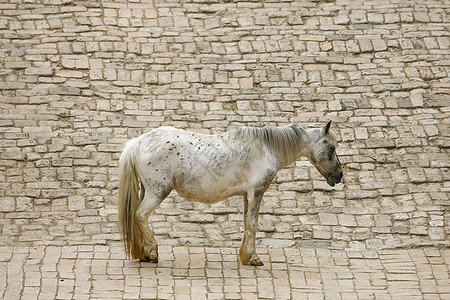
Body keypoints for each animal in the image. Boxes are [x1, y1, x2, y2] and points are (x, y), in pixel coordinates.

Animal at [118, 120, 342, 266]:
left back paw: (143, 253)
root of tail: (137, 142)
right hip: (157, 192)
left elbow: (246, 222)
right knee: (140, 215)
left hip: (146, 190)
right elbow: (253, 224)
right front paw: (253, 258)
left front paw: (245, 255)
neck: (266, 148)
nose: (339, 175)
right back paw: (152, 252)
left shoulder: (247, 195)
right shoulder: (256, 192)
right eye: (331, 147)